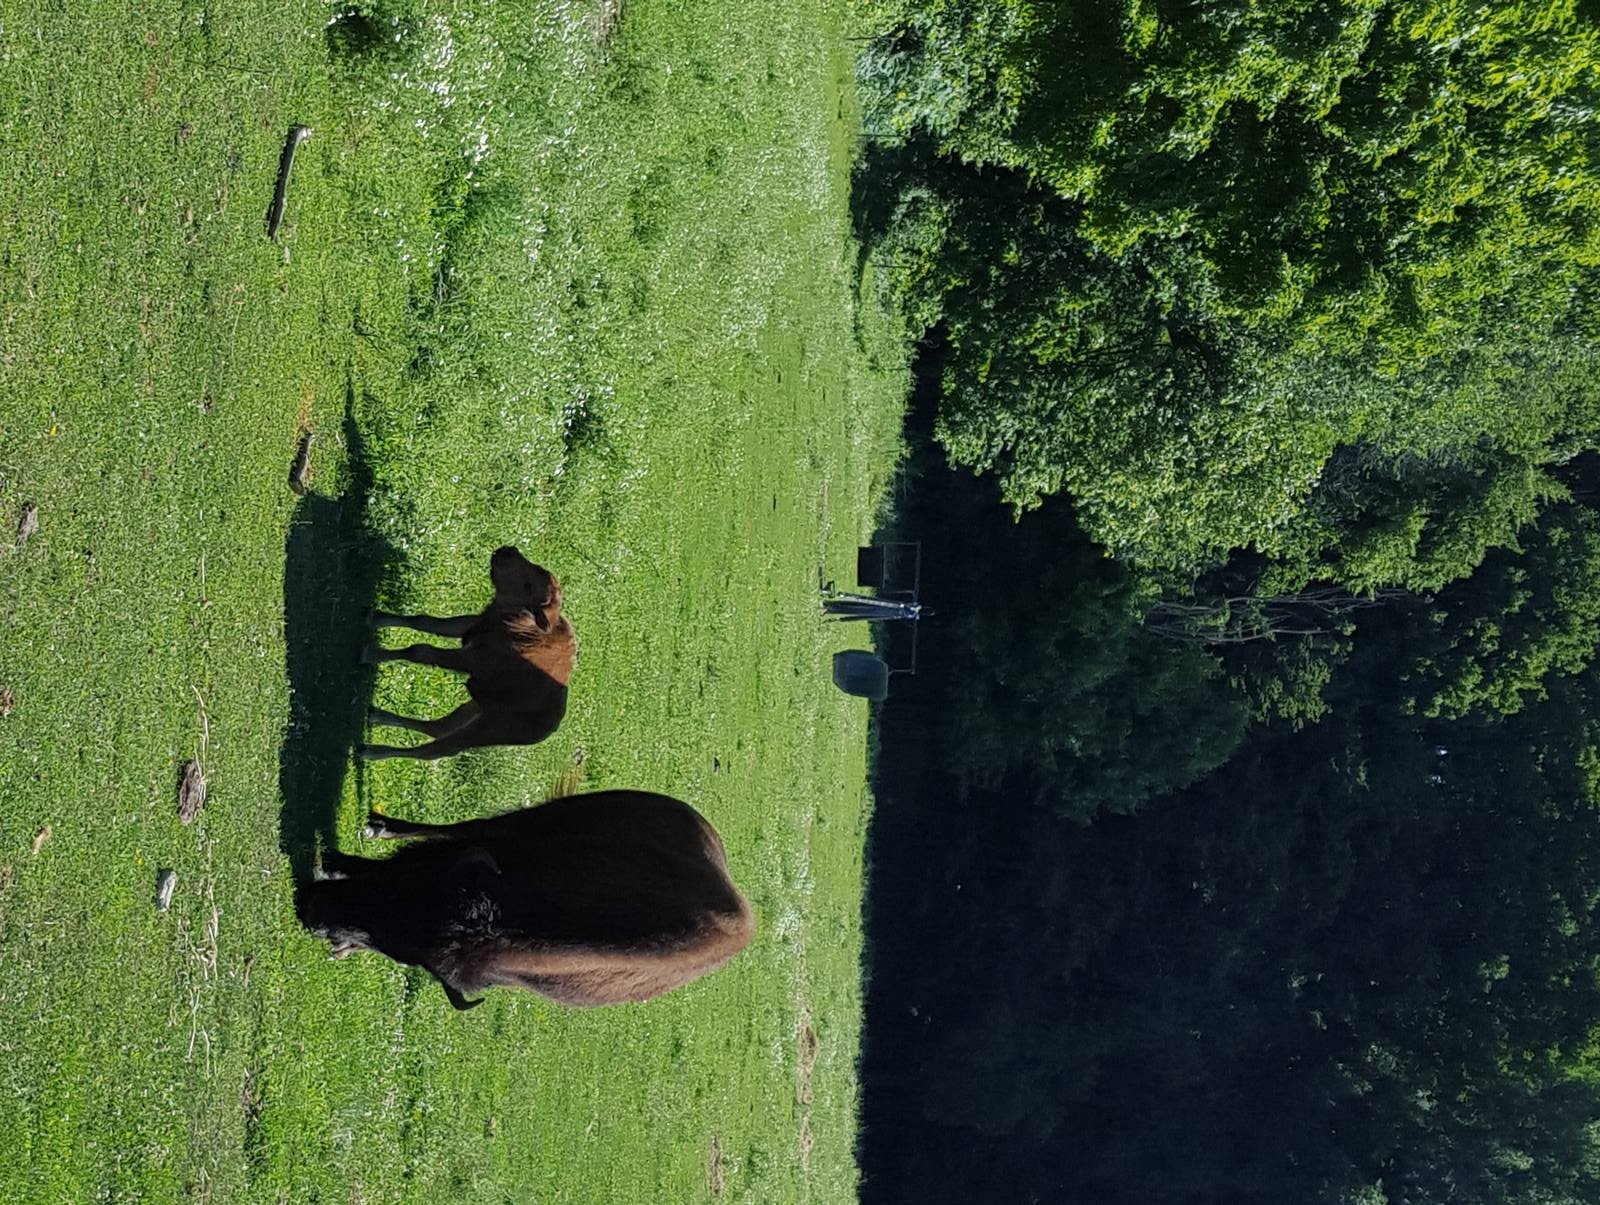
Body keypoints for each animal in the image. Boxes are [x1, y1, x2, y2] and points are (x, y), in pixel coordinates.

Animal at [358, 545, 575, 760]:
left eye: (529, 586)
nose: (508, 551)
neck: (525, 627)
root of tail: (553, 726)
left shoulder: (470, 659)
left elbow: (420, 651)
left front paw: (370, 654)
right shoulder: (468, 626)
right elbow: (424, 621)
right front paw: (375, 617)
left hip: (488, 729)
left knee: (436, 749)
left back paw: (372, 752)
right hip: (476, 706)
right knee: (438, 727)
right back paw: (376, 716)